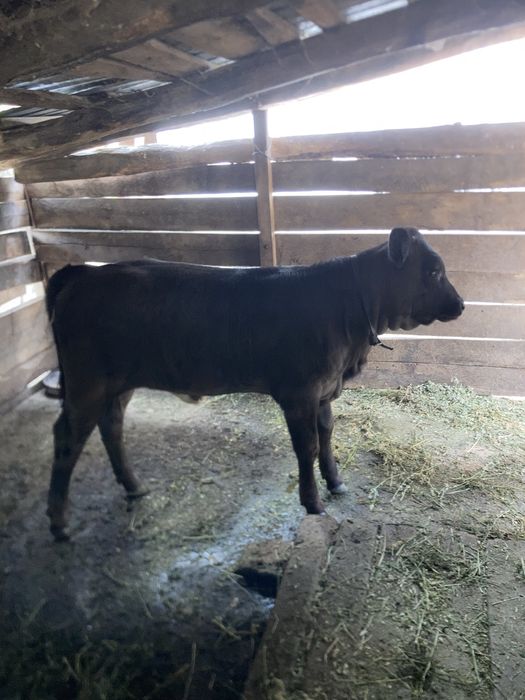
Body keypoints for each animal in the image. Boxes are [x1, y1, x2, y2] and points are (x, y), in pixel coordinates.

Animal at [45, 227, 464, 541]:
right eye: (433, 271)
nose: (461, 305)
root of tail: (85, 273)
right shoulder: (299, 394)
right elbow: (308, 446)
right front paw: (313, 503)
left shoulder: (325, 391)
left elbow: (328, 433)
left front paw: (336, 481)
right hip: (86, 382)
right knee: (67, 437)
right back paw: (59, 522)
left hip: (116, 383)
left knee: (111, 426)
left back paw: (133, 486)